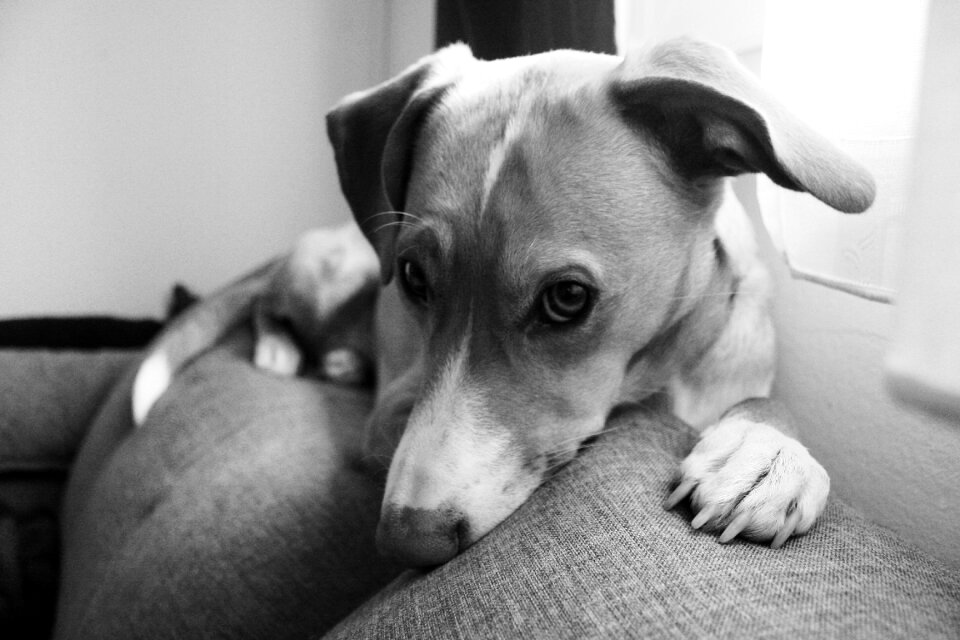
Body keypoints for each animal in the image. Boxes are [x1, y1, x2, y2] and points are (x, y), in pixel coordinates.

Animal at [131, 40, 872, 568]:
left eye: (568, 298)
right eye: (412, 276)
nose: (406, 543)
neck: (661, 370)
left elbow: (769, 403)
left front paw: (765, 453)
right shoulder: (393, 408)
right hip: (326, 274)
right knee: (265, 305)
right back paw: (282, 350)